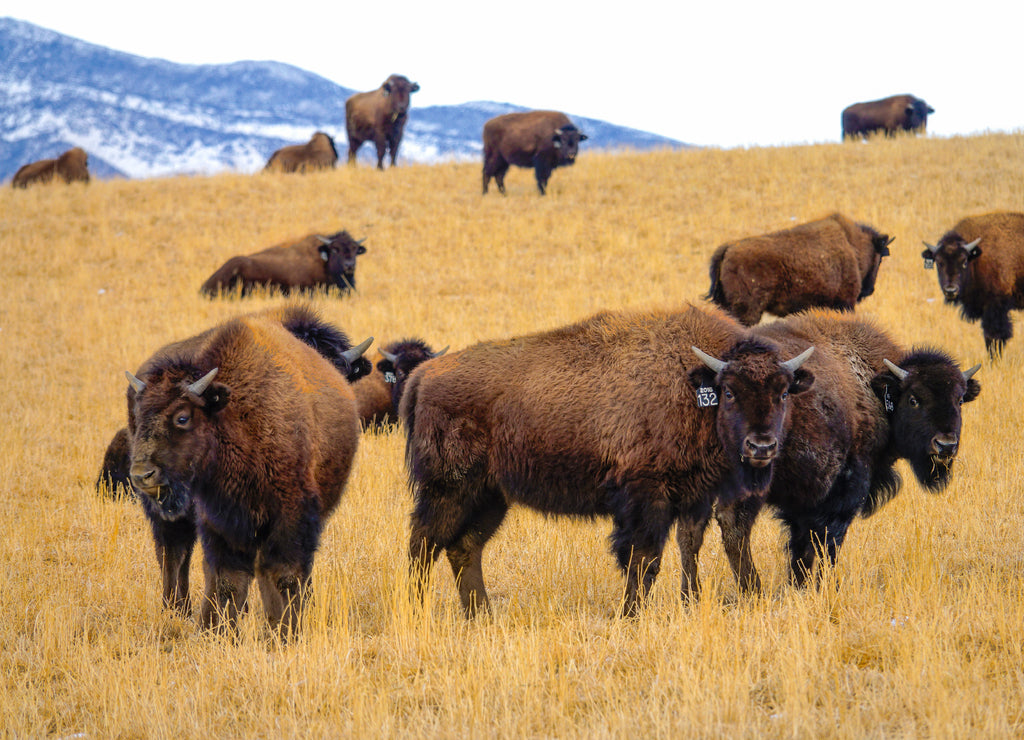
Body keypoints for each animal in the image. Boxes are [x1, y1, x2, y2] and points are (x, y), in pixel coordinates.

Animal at [124, 304, 371, 635]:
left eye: (182, 418)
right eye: (141, 417)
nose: (141, 474)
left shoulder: (290, 517)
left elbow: (281, 574)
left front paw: (282, 628)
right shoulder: (220, 519)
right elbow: (228, 578)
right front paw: (220, 630)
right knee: (173, 552)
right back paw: (178, 611)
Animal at [401, 305, 815, 618]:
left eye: (782, 393)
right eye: (729, 392)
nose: (761, 446)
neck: (692, 386)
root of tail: (423, 376)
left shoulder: (695, 497)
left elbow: (688, 547)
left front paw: (688, 603)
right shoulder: (647, 497)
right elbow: (643, 557)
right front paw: (631, 614)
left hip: (490, 496)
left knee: (464, 547)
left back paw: (482, 616)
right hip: (448, 488)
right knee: (423, 544)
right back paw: (415, 613)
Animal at [707, 213, 893, 326]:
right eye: (880, 257)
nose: (870, 289)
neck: (853, 246)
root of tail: (728, 248)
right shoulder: (844, 304)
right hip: (747, 311)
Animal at [714, 310, 980, 587]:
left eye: (959, 400)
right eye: (914, 399)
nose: (945, 445)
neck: (874, 389)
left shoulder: (803, 504)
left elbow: (801, 547)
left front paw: (799, 585)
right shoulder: (844, 493)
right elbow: (826, 544)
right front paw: (824, 586)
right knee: (735, 525)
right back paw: (752, 588)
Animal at [922, 212, 1024, 357]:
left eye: (964, 261)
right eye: (939, 262)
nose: (951, 290)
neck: (976, 258)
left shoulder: (996, 306)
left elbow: (994, 337)